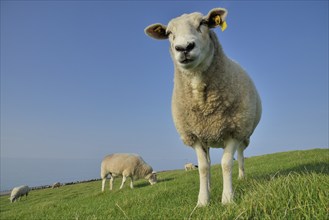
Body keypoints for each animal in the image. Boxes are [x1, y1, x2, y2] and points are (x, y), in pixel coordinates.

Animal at [145, 7, 262, 206]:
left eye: (203, 23)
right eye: (168, 33)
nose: (184, 47)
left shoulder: (233, 130)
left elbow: (226, 163)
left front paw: (227, 199)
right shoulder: (194, 136)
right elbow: (203, 168)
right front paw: (202, 201)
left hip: (243, 131)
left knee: (240, 155)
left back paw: (241, 177)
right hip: (206, 135)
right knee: (207, 161)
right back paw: (209, 186)